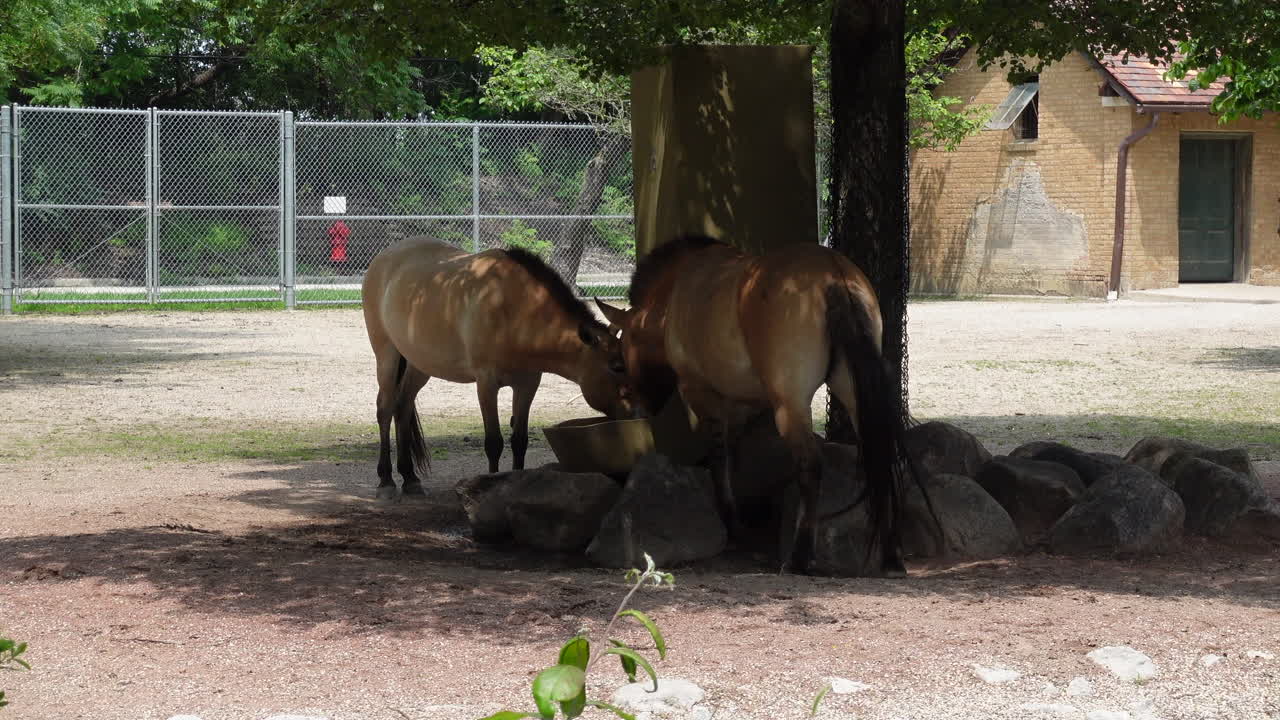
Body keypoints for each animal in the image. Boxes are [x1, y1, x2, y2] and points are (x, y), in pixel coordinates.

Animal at [362, 235, 635, 501]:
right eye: (617, 366)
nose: (635, 413)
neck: (515, 309)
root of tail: (383, 258)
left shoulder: (528, 384)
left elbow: (519, 440)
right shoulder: (486, 383)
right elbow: (494, 442)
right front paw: (487, 487)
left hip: (420, 364)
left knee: (403, 406)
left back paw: (410, 478)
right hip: (386, 355)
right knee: (385, 409)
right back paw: (386, 481)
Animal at [595, 235, 915, 576]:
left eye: (619, 359)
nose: (636, 408)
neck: (679, 289)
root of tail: (832, 274)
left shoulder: (700, 391)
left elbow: (719, 455)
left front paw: (731, 521)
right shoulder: (739, 403)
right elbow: (731, 453)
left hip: (789, 406)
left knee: (810, 465)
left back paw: (800, 557)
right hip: (853, 392)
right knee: (877, 454)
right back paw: (891, 555)